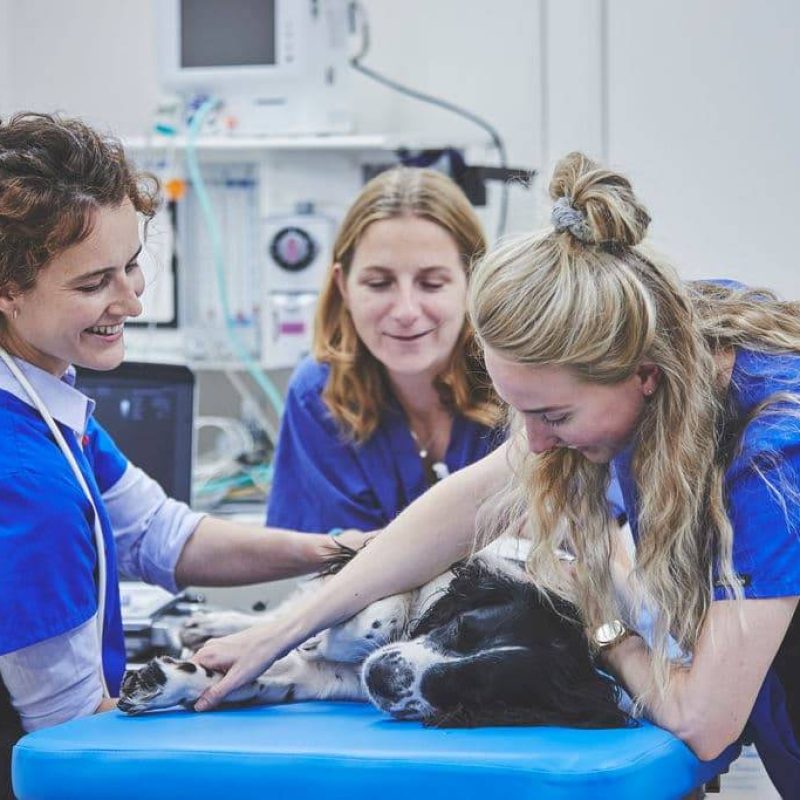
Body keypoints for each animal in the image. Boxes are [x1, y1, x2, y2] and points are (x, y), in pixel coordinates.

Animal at [120, 552, 632, 732]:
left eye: (476, 691)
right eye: (461, 627)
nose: (383, 677)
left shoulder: (322, 679)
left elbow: (259, 673)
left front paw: (165, 682)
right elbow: (375, 613)